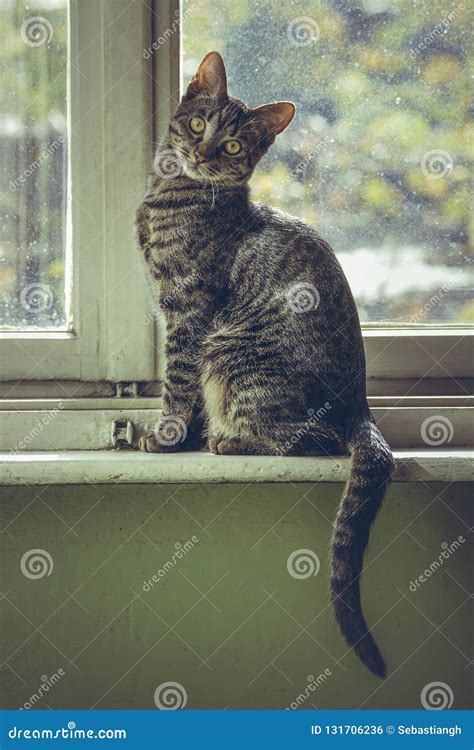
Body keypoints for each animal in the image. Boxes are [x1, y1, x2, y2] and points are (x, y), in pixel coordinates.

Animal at [135, 50, 394, 680]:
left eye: (233, 146)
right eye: (198, 124)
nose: (203, 152)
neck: (172, 192)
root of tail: (363, 406)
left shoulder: (189, 314)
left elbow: (177, 385)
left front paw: (167, 438)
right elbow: (186, 398)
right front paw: (178, 436)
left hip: (231, 355)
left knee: (312, 437)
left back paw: (230, 441)